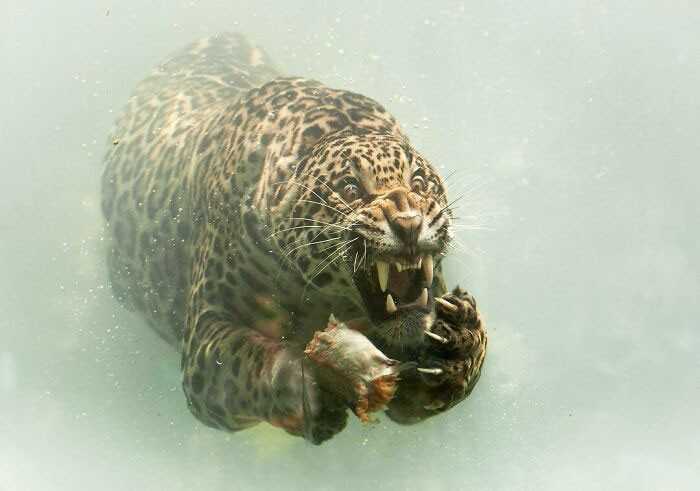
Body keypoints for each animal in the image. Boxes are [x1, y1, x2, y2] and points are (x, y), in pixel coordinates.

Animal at [101, 32, 487, 444]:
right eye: (350, 189)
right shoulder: (206, 329)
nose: (409, 223)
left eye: (418, 182)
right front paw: (305, 386)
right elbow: (243, 363)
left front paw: (458, 344)